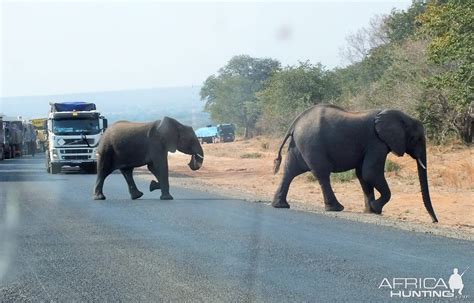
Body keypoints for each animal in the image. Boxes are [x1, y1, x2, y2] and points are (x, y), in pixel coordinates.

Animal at [272, 104, 438, 223]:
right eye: (417, 139)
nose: (434, 221)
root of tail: (295, 123)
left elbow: (363, 175)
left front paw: (371, 211)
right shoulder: (376, 142)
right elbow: (370, 173)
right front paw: (376, 208)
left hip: (299, 145)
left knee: (290, 171)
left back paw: (280, 206)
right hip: (312, 144)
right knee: (322, 174)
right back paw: (336, 208)